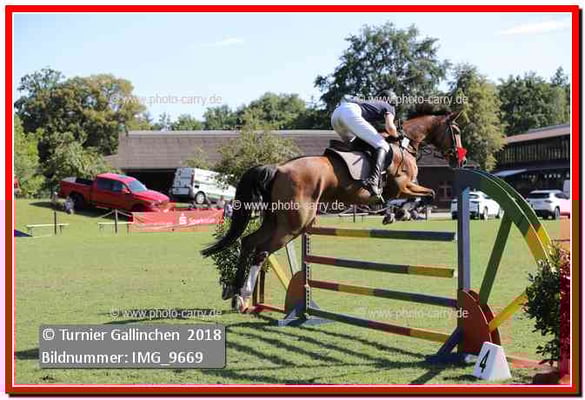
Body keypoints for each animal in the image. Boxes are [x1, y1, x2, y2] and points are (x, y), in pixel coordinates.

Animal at [201, 111, 466, 311]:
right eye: (456, 131)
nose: (461, 161)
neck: (403, 145)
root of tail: (277, 168)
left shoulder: (401, 189)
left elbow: (416, 196)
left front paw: (394, 213)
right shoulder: (403, 186)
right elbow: (428, 194)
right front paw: (402, 213)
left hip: (277, 220)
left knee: (248, 242)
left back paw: (235, 293)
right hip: (293, 225)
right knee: (261, 251)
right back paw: (242, 295)